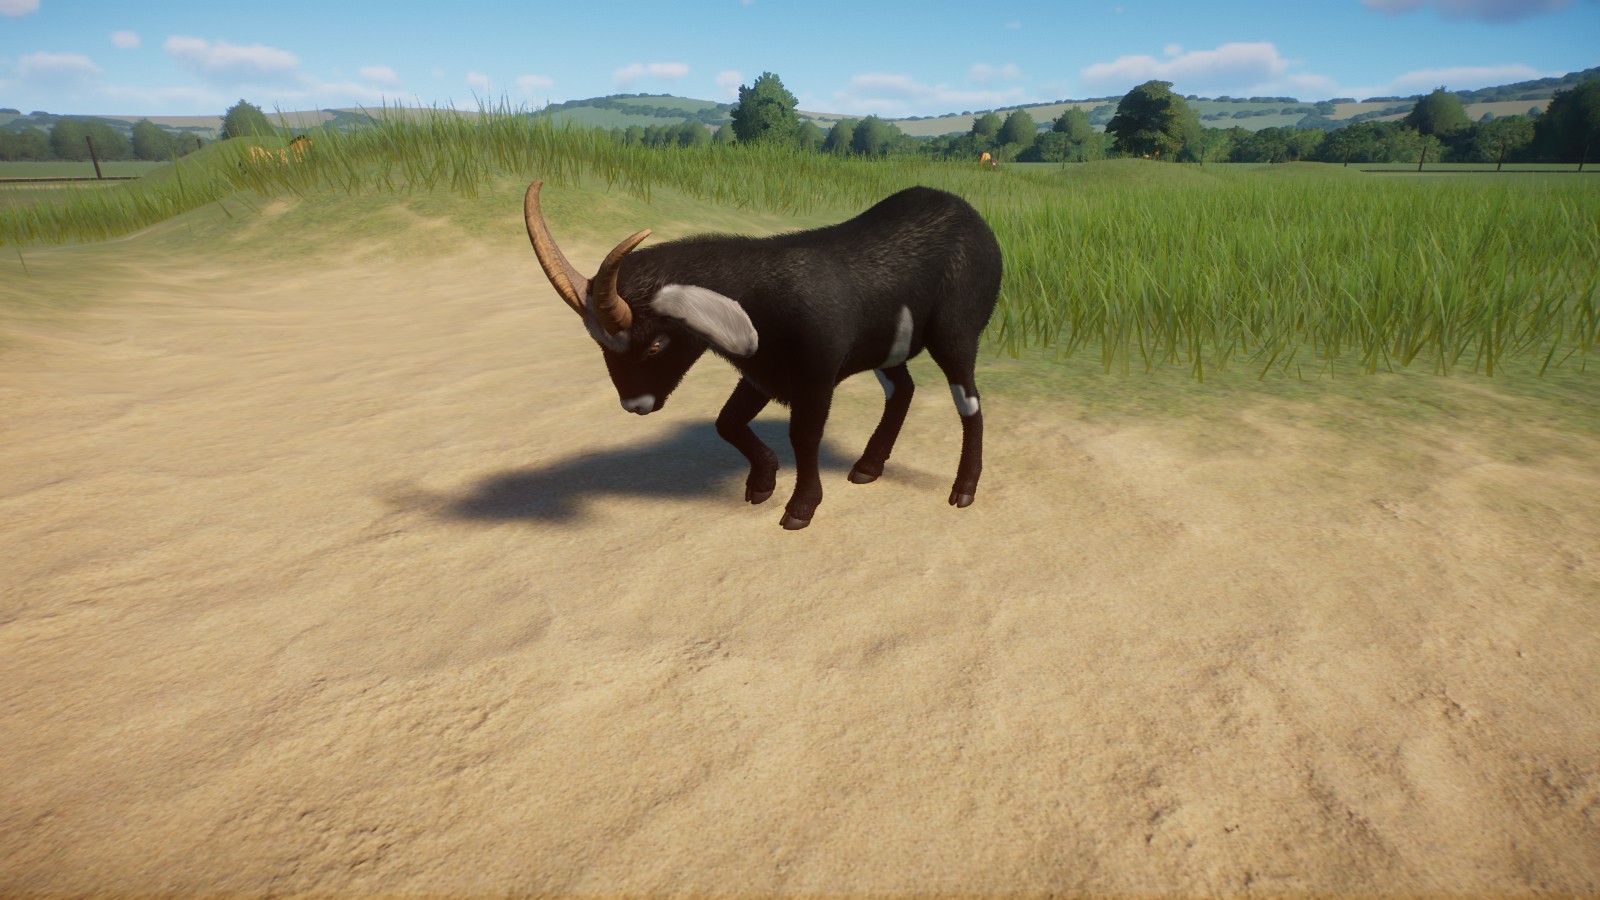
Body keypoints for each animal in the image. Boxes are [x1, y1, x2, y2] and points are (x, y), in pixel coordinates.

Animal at [523, 180, 1003, 530]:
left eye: (657, 344)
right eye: (602, 348)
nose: (634, 405)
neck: (758, 293)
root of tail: (967, 211)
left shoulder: (815, 377)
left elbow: (803, 436)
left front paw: (800, 509)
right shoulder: (761, 373)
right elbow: (727, 422)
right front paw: (762, 482)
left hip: (955, 332)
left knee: (969, 402)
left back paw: (964, 490)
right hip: (888, 347)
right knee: (902, 389)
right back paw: (868, 466)